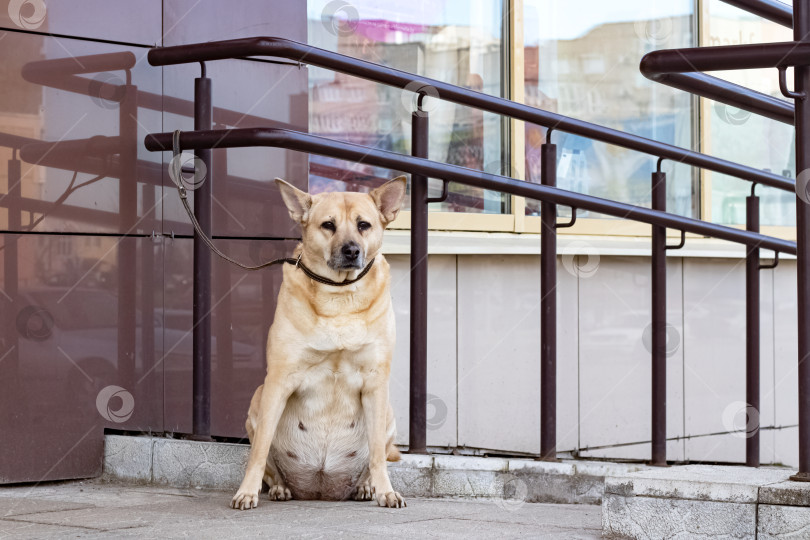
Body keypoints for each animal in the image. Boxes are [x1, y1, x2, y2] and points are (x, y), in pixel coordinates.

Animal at [230, 177, 408, 510]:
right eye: (328, 225)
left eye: (363, 225)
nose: (351, 250)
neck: (339, 294)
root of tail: (321, 487)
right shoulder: (278, 380)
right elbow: (258, 452)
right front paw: (247, 491)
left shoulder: (376, 382)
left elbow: (378, 454)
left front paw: (385, 491)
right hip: (259, 398)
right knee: (270, 463)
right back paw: (279, 487)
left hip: (388, 410)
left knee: (376, 454)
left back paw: (365, 487)